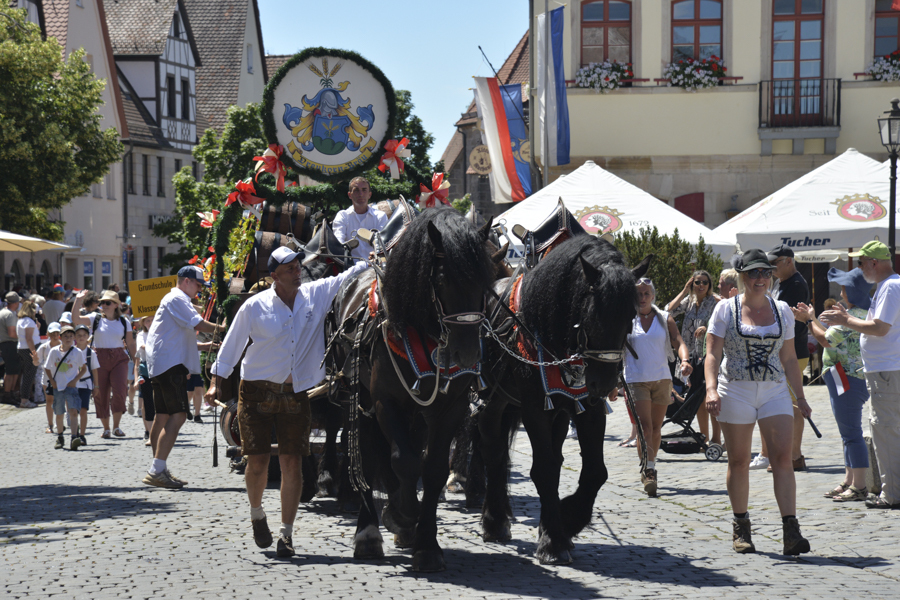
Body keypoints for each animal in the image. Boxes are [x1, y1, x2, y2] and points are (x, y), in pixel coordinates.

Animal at [326, 210, 492, 572]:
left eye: (484, 282)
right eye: (442, 280)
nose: (467, 354)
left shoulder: (451, 407)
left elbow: (432, 469)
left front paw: (425, 542)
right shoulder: (384, 402)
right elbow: (402, 461)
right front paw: (403, 515)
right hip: (360, 401)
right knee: (369, 457)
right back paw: (369, 532)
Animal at [478, 237, 648, 564]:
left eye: (630, 317)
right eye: (593, 314)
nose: (604, 382)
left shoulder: (588, 408)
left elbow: (595, 471)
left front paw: (566, 520)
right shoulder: (534, 409)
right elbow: (543, 468)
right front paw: (553, 541)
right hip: (493, 402)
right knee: (494, 453)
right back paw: (494, 520)